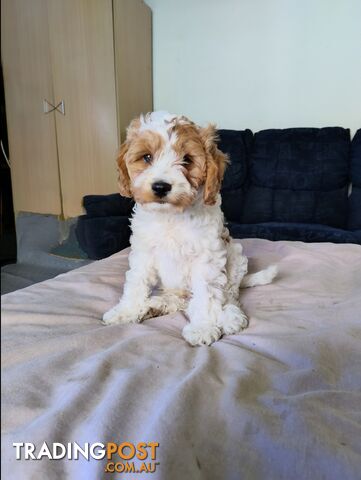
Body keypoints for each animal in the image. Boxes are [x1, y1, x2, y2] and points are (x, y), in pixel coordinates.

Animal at [102, 112, 278, 344]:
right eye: (147, 157)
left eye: (187, 160)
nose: (161, 186)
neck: (171, 216)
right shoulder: (144, 252)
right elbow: (136, 281)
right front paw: (126, 311)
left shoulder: (207, 259)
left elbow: (206, 295)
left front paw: (203, 327)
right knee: (181, 300)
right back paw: (157, 305)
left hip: (236, 258)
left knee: (229, 297)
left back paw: (230, 317)